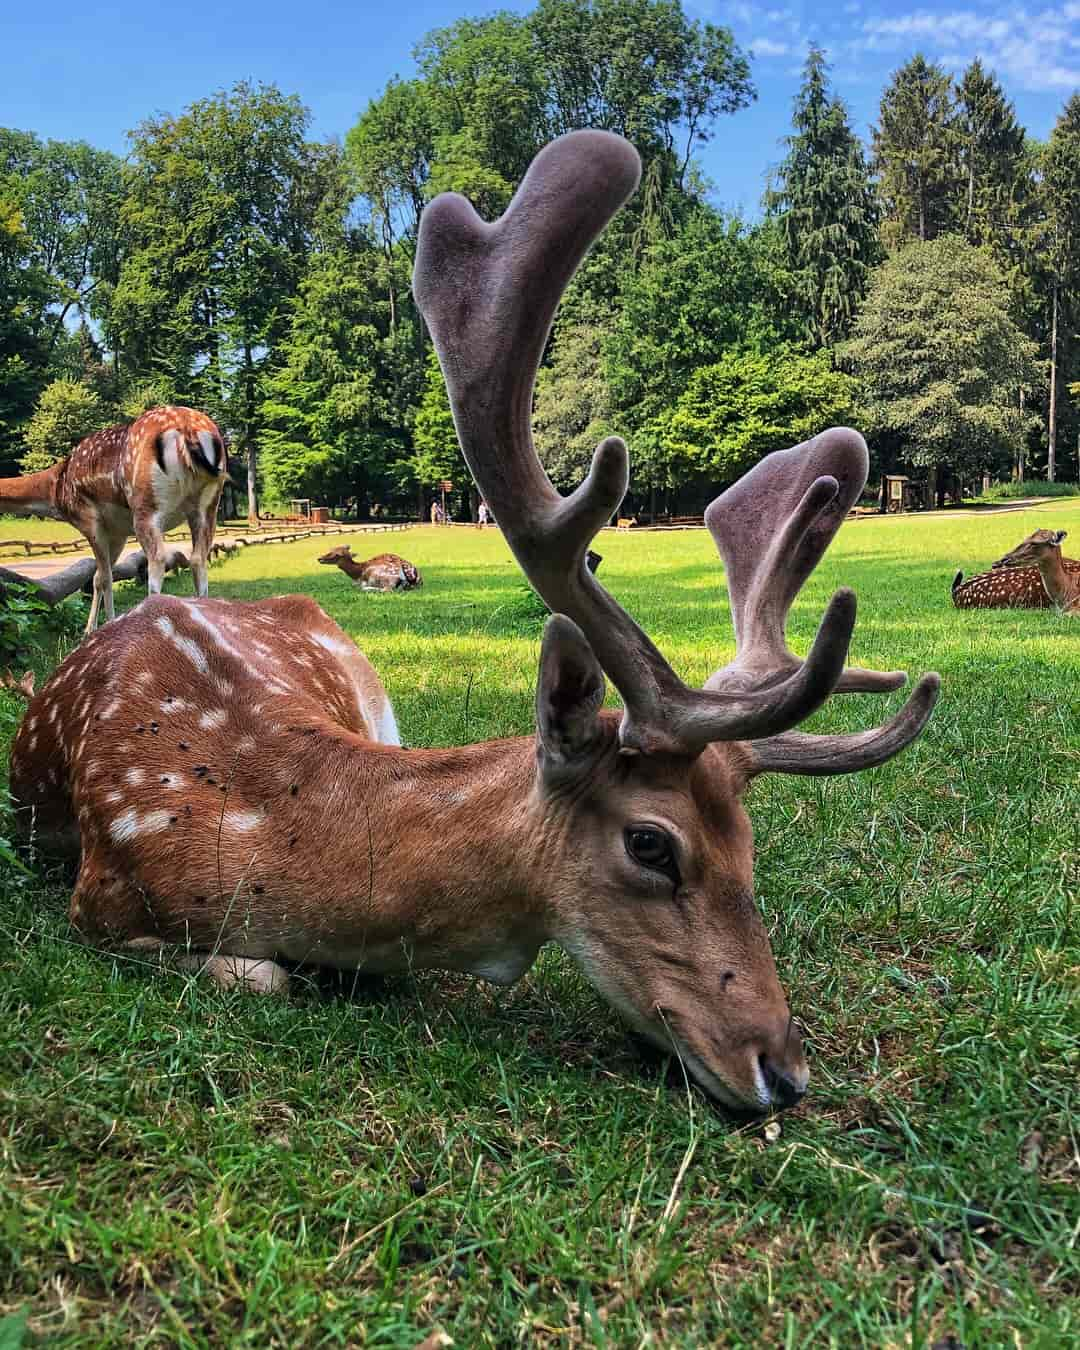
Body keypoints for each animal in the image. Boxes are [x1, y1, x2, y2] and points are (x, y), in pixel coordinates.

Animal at [0, 405, 228, 631]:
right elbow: (100, 576)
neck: (56, 493)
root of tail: (189, 430)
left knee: (158, 560)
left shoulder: (89, 520)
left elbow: (104, 578)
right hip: (208, 506)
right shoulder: (118, 532)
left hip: (146, 505)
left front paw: (98, 628)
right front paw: (93, 628)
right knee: (197, 558)